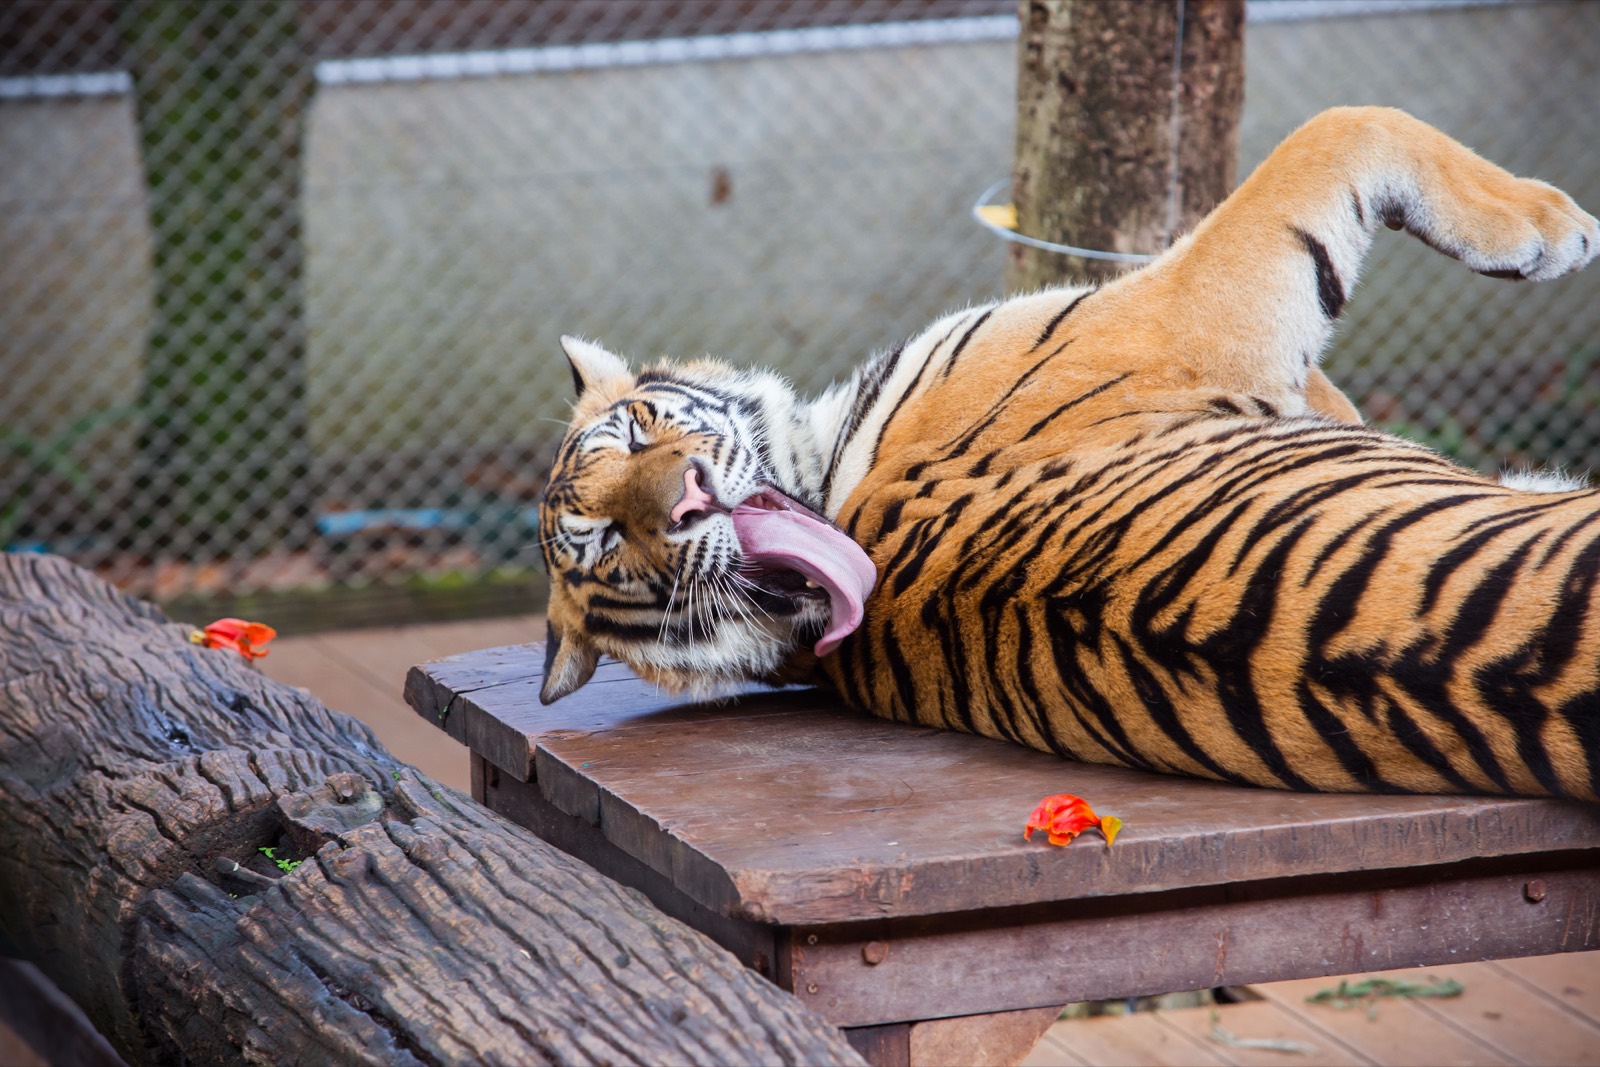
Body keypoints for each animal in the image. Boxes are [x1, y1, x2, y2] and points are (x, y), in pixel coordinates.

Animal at [537, 107, 1600, 800]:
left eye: (636, 431)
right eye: (608, 545)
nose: (683, 499)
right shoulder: (1188, 311)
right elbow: (1342, 128)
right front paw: (1556, 227)